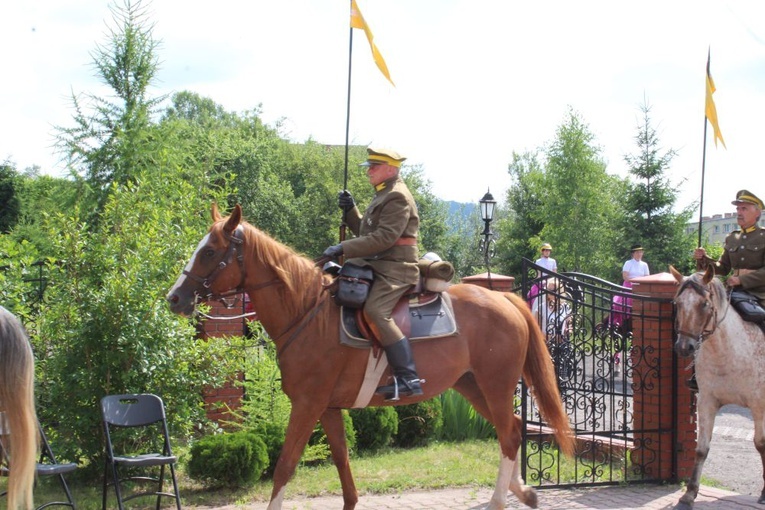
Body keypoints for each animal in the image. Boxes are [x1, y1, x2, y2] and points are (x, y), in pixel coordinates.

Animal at [169, 204, 572, 510]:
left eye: (209, 251)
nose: (175, 298)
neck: (307, 312)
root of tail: (505, 299)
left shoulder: (307, 404)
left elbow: (284, 466)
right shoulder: (328, 408)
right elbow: (343, 463)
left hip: (496, 385)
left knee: (508, 436)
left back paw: (499, 500)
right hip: (472, 386)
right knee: (514, 430)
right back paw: (523, 491)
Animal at [672, 264, 764, 508]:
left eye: (704, 304)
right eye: (678, 303)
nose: (684, 347)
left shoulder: (758, 405)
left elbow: (760, 444)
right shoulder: (706, 402)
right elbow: (701, 449)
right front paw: (689, 494)